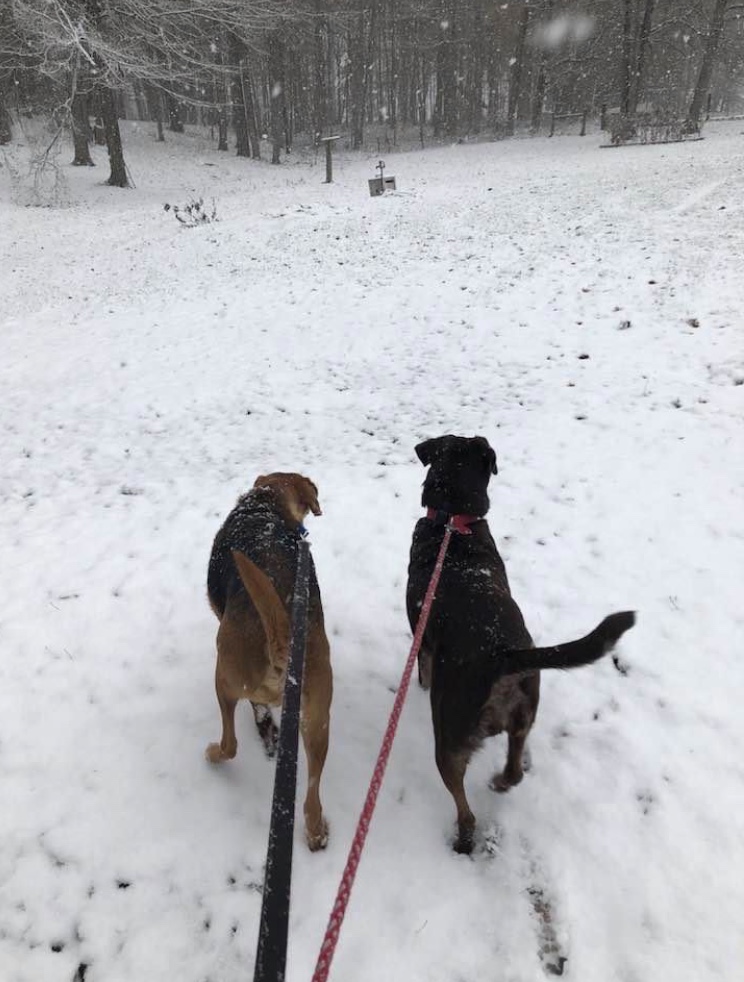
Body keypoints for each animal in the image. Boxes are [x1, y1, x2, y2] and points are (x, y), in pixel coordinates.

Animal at [203, 472, 332, 848]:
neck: (265, 504)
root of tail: (282, 640)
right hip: (318, 722)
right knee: (312, 797)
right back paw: (316, 834)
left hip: (224, 678)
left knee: (230, 744)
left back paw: (213, 753)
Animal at [404, 436, 636, 852]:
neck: (452, 522)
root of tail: (501, 656)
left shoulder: (422, 641)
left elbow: (423, 670)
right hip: (525, 712)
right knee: (515, 770)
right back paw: (500, 781)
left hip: (448, 737)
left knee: (465, 808)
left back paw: (464, 837)